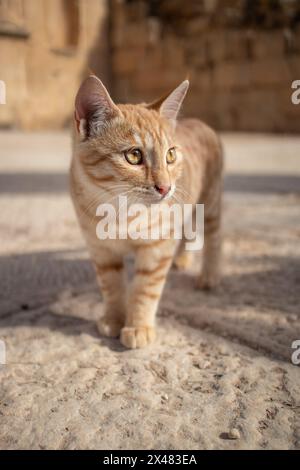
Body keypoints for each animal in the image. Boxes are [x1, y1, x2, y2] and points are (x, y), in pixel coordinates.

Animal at [69, 76, 221, 348]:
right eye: (133, 155)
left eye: (170, 155)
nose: (166, 187)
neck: (120, 213)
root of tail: (198, 121)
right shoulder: (101, 251)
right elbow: (111, 286)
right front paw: (114, 319)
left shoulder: (157, 247)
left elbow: (144, 290)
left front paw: (138, 326)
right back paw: (182, 259)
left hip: (210, 203)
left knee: (214, 237)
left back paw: (209, 275)